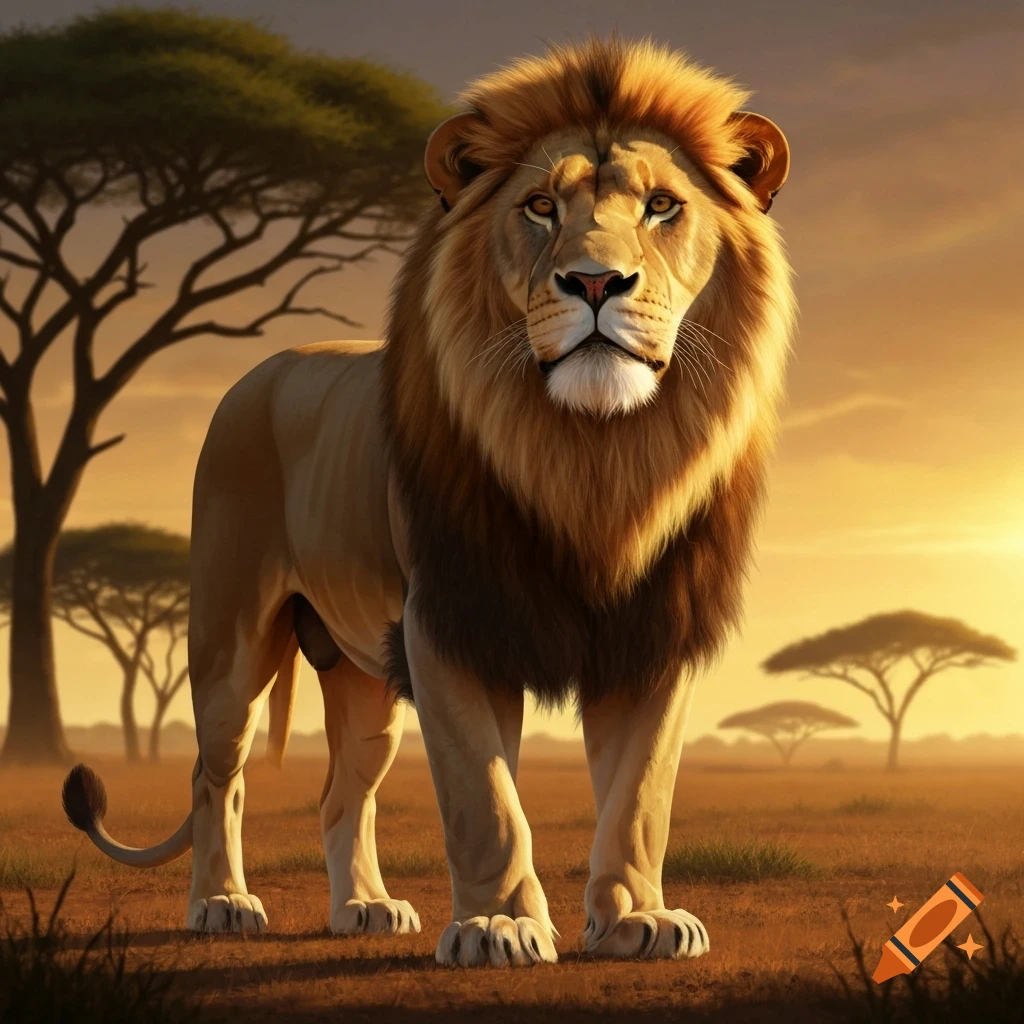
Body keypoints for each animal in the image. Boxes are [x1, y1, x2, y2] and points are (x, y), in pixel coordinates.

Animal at [61, 37, 795, 966]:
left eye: (663, 205)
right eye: (540, 206)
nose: (596, 283)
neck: (592, 457)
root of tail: (265, 370)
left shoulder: (654, 629)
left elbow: (640, 794)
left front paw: (638, 919)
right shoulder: (450, 620)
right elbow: (485, 797)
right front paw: (499, 925)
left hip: (361, 673)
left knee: (342, 791)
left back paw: (365, 907)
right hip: (231, 637)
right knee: (213, 774)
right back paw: (221, 903)